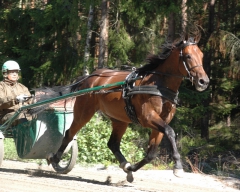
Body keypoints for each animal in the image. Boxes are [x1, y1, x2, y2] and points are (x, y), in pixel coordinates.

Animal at [47, 35, 209, 183]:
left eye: (201, 56)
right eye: (188, 56)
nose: (204, 81)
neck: (158, 85)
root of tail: (90, 77)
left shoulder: (160, 122)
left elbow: (151, 154)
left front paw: (130, 168)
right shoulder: (148, 118)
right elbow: (170, 131)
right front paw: (178, 167)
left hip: (119, 120)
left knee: (112, 143)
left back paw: (125, 165)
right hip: (84, 112)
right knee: (69, 133)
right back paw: (55, 159)